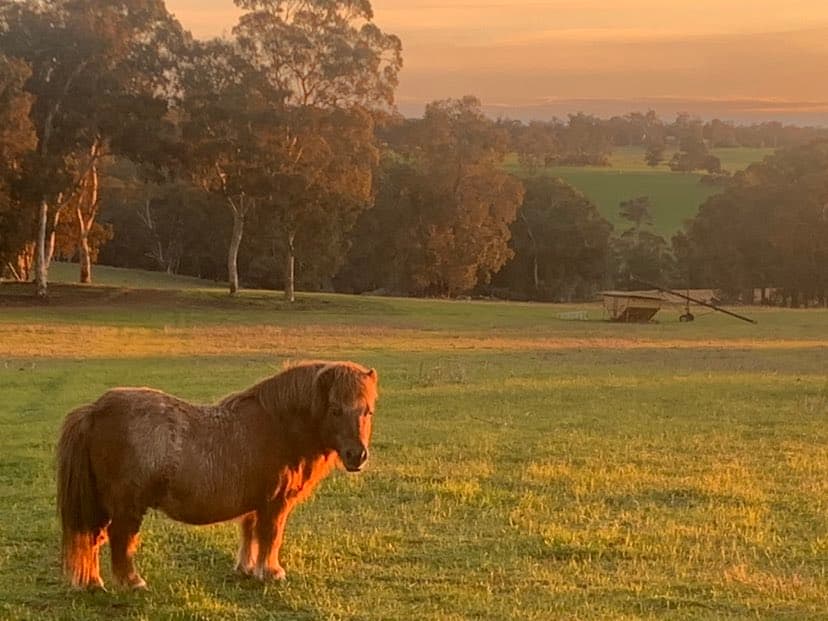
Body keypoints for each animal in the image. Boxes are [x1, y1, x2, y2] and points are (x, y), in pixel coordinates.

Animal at [56, 360, 378, 590]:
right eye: (334, 409)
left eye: (368, 411)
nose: (357, 455)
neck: (278, 426)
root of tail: (95, 410)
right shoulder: (275, 504)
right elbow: (270, 536)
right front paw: (271, 572)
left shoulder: (255, 504)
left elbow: (250, 533)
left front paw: (247, 568)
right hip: (127, 506)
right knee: (119, 538)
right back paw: (132, 582)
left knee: (93, 537)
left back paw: (93, 583)